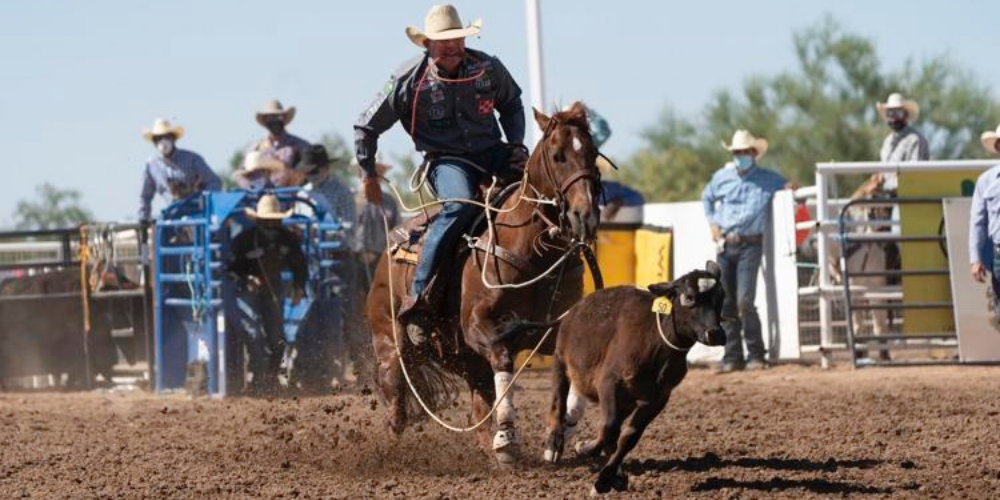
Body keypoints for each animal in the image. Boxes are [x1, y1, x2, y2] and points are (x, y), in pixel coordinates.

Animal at [368, 102, 600, 464]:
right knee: (397, 408)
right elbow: (503, 361)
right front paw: (507, 437)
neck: (531, 247)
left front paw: (561, 434)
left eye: (592, 152)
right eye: (558, 155)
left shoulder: (551, 330)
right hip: (391, 347)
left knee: (477, 407)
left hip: (460, 357)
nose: (585, 216)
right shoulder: (480, 328)